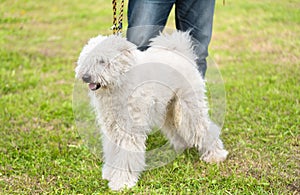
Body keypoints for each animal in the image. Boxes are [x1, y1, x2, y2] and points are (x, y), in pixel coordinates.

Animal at [75, 30, 227, 190]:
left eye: (102, 61)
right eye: (87, 59)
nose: (85, 77)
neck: (120, 82)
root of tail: (179, 52)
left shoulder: (129, 130)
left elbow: (125, 157)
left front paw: (122, 182)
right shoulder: (112, 128)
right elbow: (112, 152)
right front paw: (109, 173)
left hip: (189, 108)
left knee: (205, 129)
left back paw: (215, 155)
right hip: (169, 111)